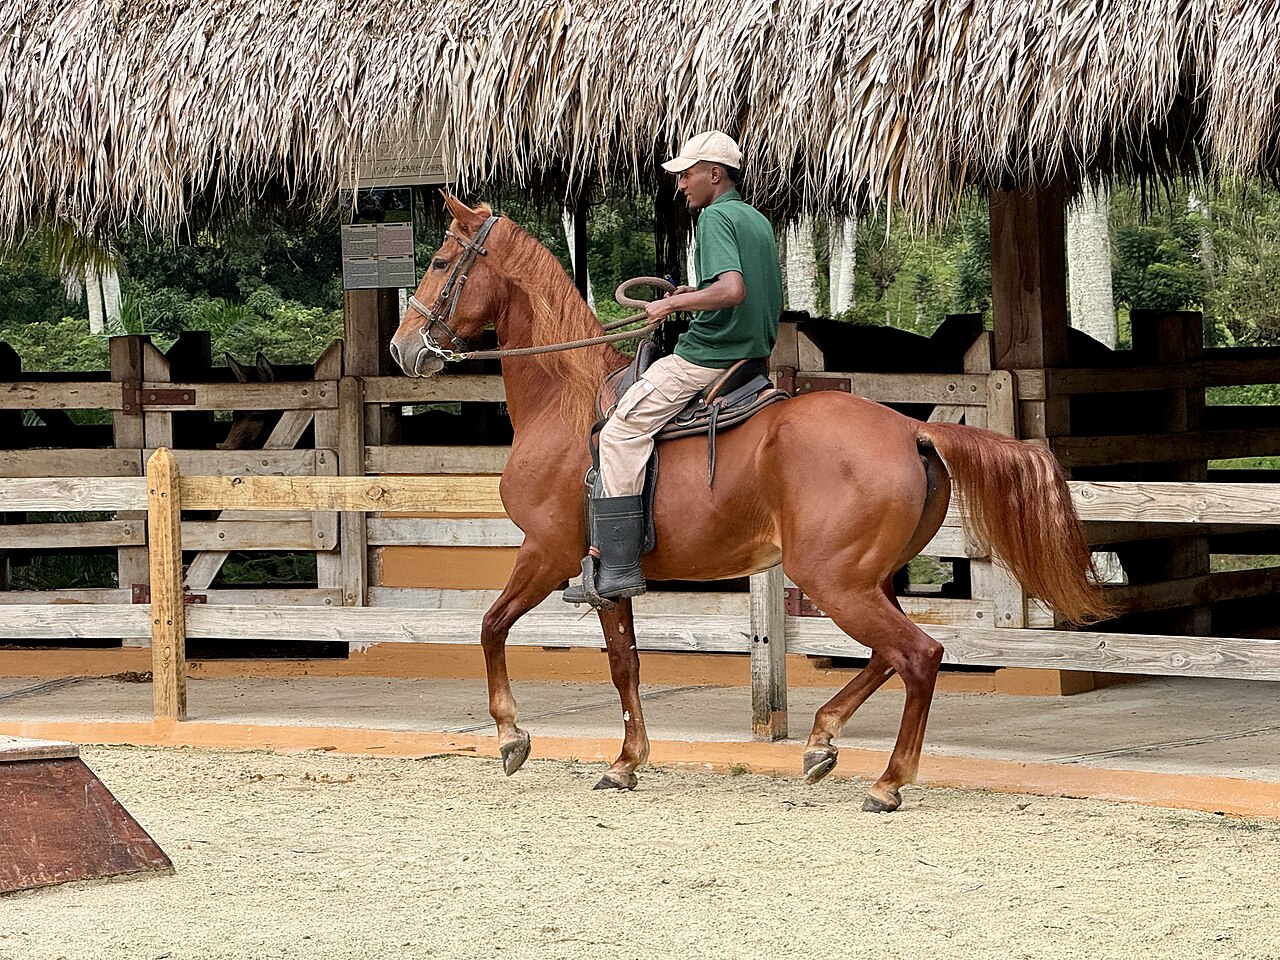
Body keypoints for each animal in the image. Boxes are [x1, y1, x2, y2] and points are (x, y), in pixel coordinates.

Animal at [389, 194, 1110, 812]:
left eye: (442, 262)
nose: (402, 348)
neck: (566, 404)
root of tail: (911, 429)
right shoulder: (605, 576)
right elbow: (625, 664)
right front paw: (627, 760)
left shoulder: (548, 552)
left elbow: (493, 626)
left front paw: (513, 736)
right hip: (864, 578)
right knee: (889, 656)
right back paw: (822, 739)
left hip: (833, 580)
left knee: (918, 656)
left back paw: (886, 780)